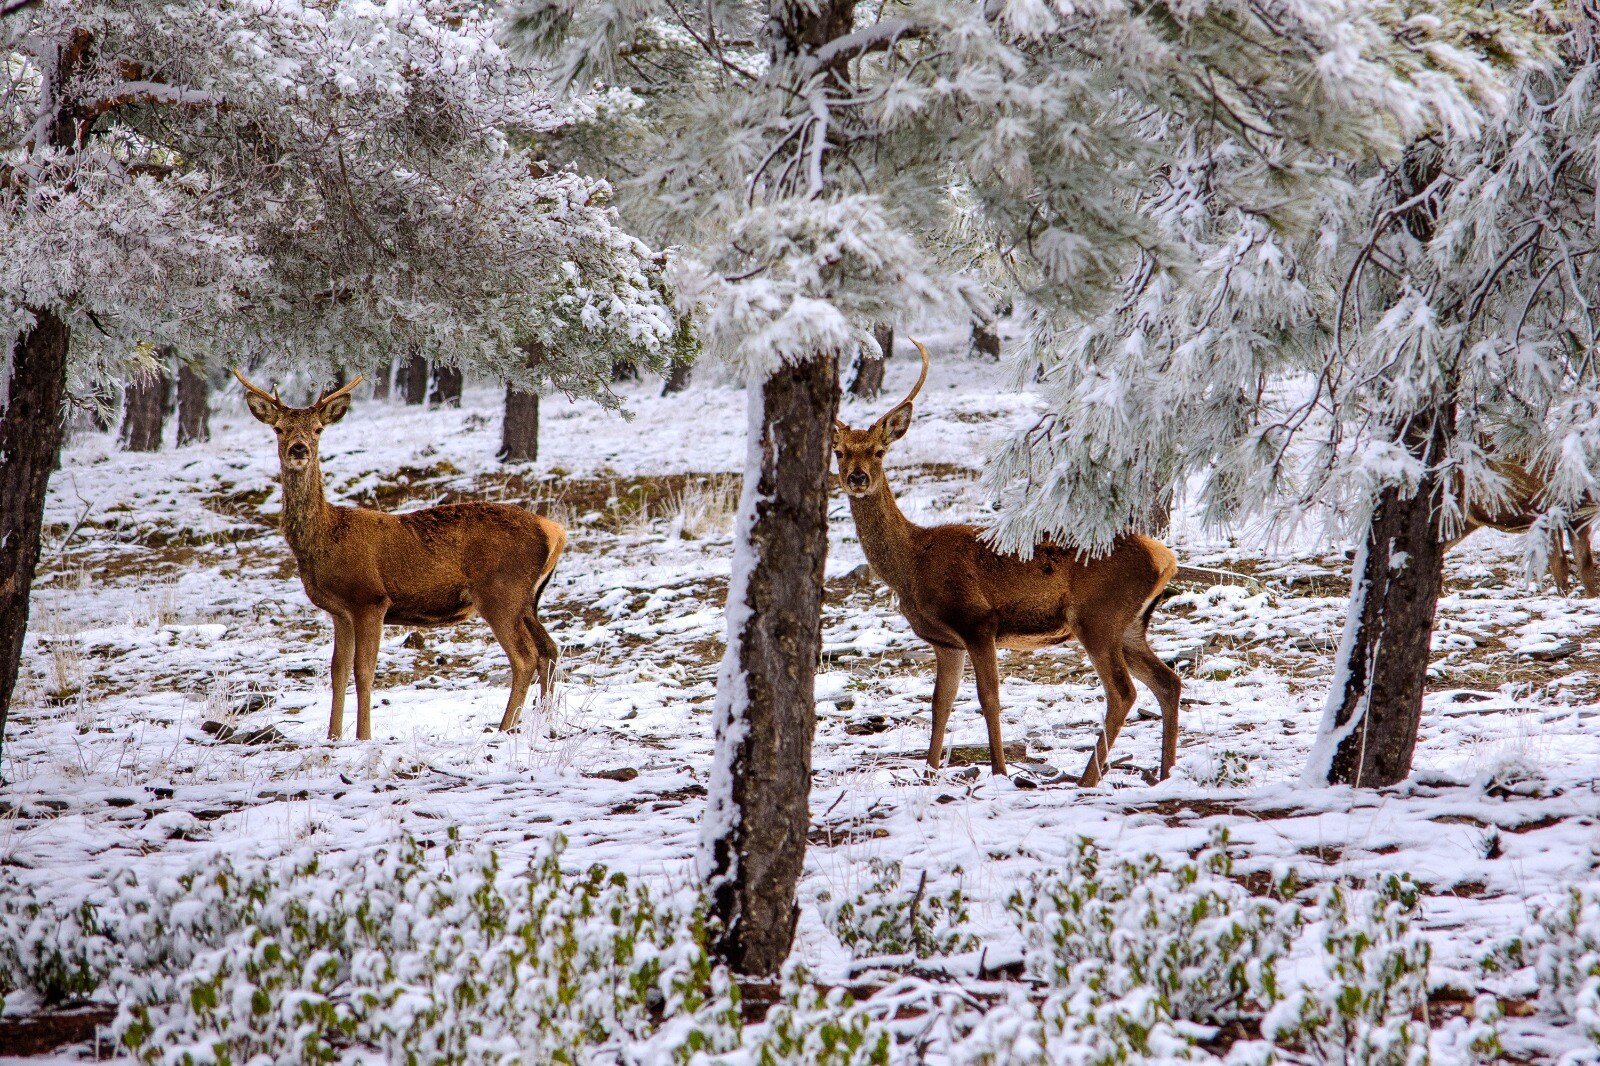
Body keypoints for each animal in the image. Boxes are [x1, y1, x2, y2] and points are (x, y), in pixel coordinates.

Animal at [233, 371, 566, 739]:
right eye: (279, 429)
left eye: (318, 429)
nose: (298, 449)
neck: (324, 537)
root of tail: (554, 530)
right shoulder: (339, 611)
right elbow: (337, 672)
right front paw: (333, 736)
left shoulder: (369, 598)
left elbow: (363, 670)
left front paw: (363, 736)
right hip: (527, 599)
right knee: (549, 648)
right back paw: (543, 720)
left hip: (501, 592)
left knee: (525, 656)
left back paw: (504, 727)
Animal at [832, 340, 1184, 781]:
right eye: (839, 452)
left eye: (879, 451)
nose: (857, 477)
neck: (911, 565)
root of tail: (1165, 557)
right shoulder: (945, 641)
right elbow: (940, 703)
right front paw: (928, 773)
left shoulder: (978, 620)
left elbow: (989, 699)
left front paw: (999, 771)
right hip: (1130, 625)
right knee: (1168, 682)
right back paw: (1165, 773)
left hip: (1097, 615)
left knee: (1123, 692)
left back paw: (1088, 780)